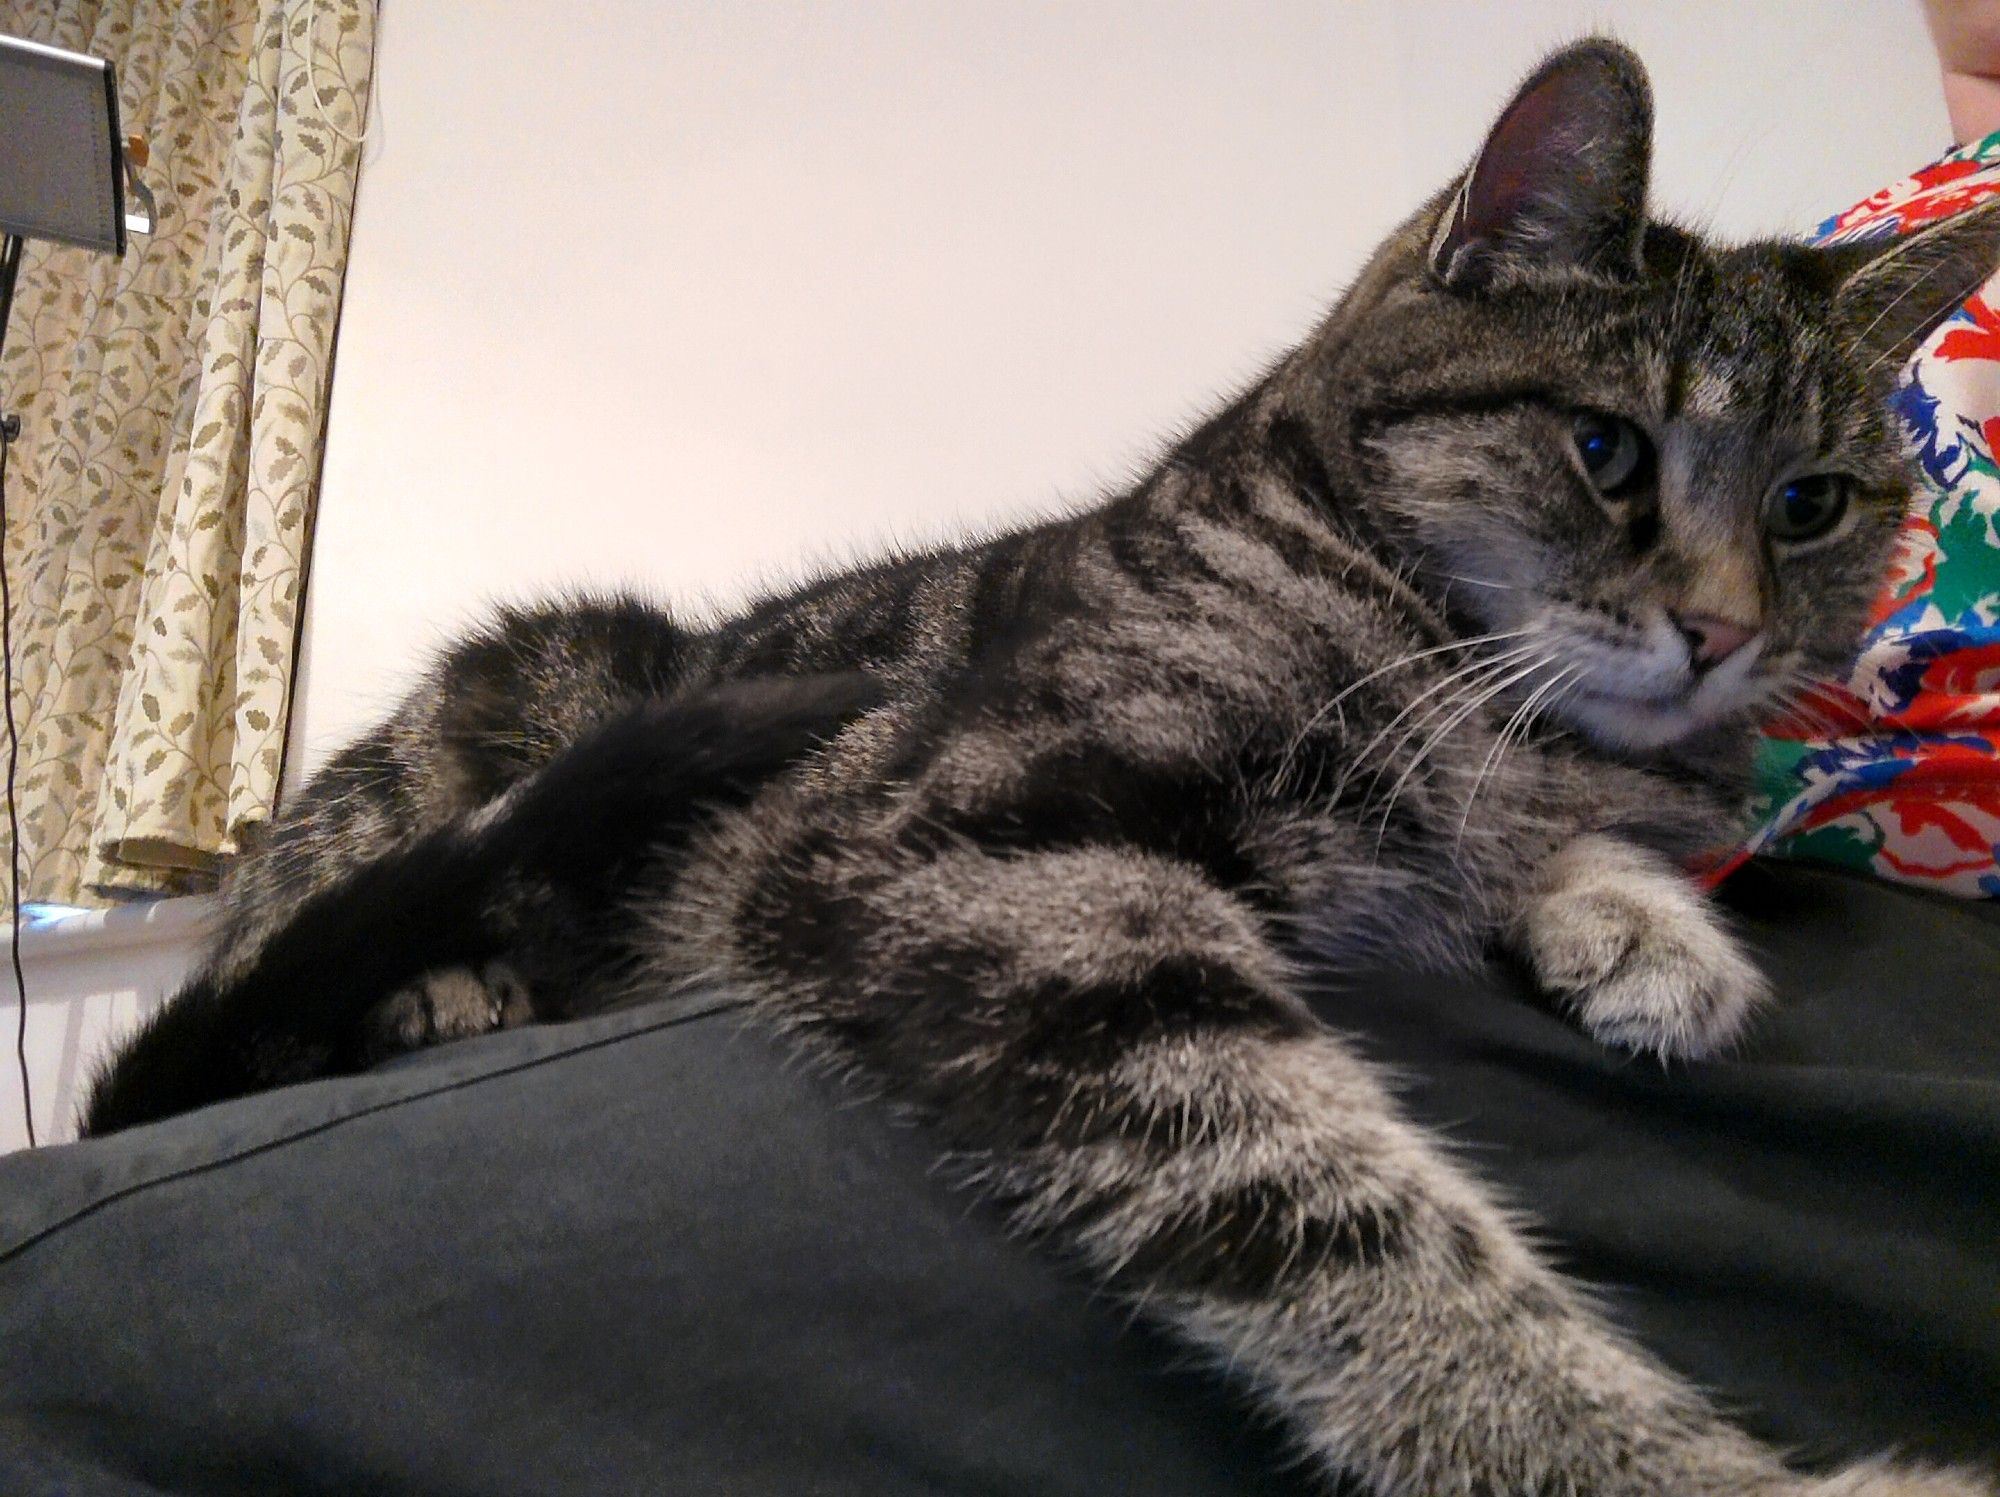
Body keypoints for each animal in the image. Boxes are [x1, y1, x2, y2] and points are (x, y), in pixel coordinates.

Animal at [82, 41, 2000, 1488]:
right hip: (530, 695)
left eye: (1813, 502)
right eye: (1606, 450)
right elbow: (1353, 1221)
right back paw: (436, 989)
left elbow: (1578, 842)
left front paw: (1643, 924)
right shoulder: (991, 854)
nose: (1727, 629)